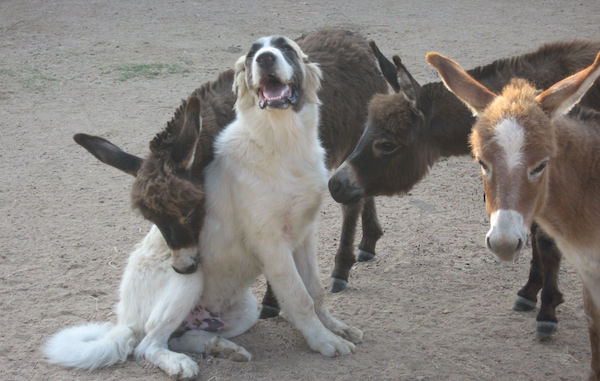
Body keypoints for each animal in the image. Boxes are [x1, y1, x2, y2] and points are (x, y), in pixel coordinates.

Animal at [43, 35, 360, 378]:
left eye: (285, 48)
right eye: (252, 54)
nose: (265, 58)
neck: (281, 143)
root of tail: (124, 319)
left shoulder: (304, 235)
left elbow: (314, 290)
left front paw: (333, 327)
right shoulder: (272, 244)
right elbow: (300, 298)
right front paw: (323, 341)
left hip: (243, 310)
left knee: (180, 336)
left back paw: (222, 347)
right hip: (190, 281)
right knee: (147, 345)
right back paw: (179, 362)